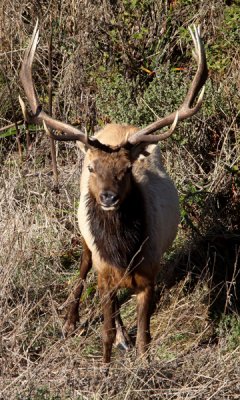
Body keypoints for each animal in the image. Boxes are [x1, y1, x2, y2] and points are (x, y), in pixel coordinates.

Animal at [18, 23, 207, 364]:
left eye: (127, 169)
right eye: (92, 167)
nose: (108, 198)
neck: (125, 253)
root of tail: (117, 125)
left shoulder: (150, 271)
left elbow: (146, 335)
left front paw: (143, 363)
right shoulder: (105, 271)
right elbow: (104, 332)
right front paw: (106, 365)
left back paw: (121, 336)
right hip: (86, 238)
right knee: (83, 265)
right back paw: (71, 322)